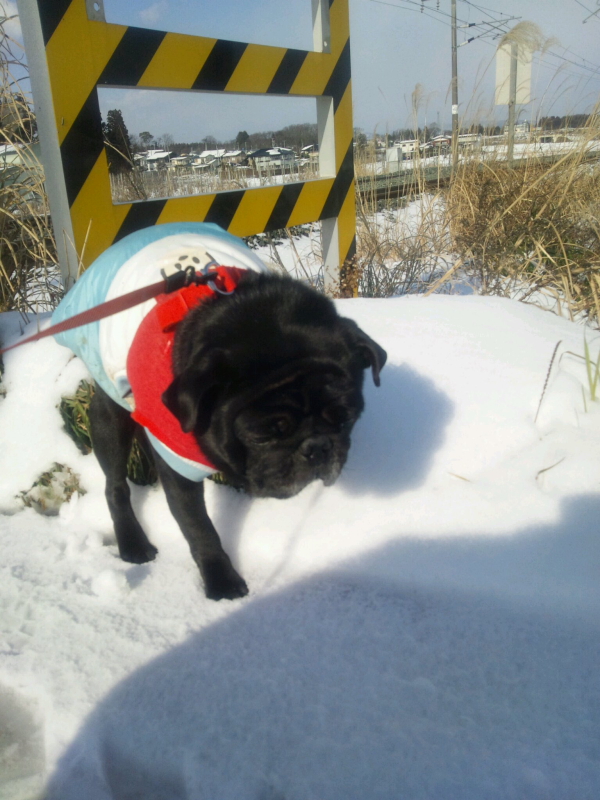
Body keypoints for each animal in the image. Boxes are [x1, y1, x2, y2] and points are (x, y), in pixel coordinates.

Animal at [53, 223, 386, 600]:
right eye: (264, 433)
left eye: (346, 418)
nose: (317, 447)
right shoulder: (178, 463)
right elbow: (199, 528)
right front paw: (222, 581)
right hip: (109, 414)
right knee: (115, 484)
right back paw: (132, 544)